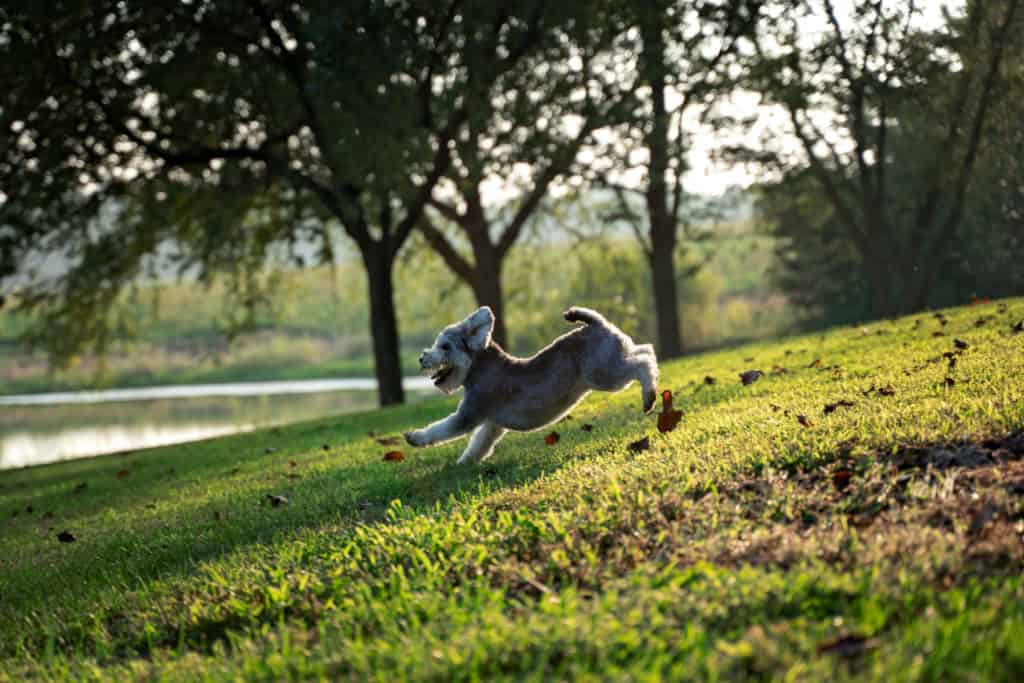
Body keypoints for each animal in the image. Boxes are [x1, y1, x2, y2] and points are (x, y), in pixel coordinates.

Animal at [403, 305, 659, 462]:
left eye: (445, 346)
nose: (422, 357)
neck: (479, 368)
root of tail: (597, 324)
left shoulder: (470, 413)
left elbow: (441, 429)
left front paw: (414, 437)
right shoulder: (492, 424)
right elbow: (478, 445)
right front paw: (464, 463)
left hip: (605, 375)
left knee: (641, 364)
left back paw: (649, 397)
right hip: (615, 358)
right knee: (646, 350)